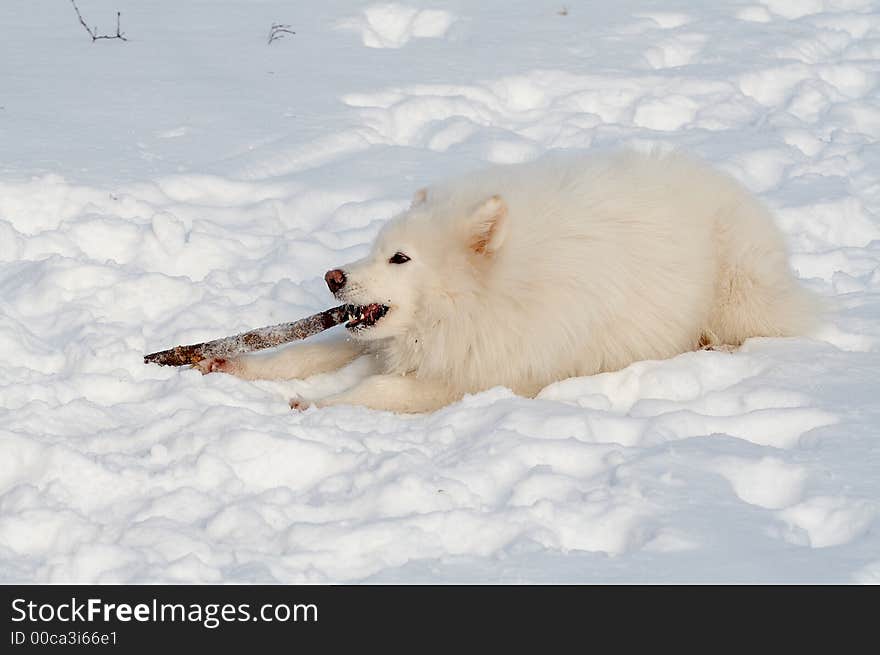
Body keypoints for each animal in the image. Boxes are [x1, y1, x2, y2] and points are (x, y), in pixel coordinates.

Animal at [199, 151, 820, 412]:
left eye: (400, 258)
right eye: (373, 251)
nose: (332, 277)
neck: (482, 298)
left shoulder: (472, 376)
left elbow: (376, 392)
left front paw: (317, 403)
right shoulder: (392, 345)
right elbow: (300, 355)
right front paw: (231, 365)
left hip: (739, 295)